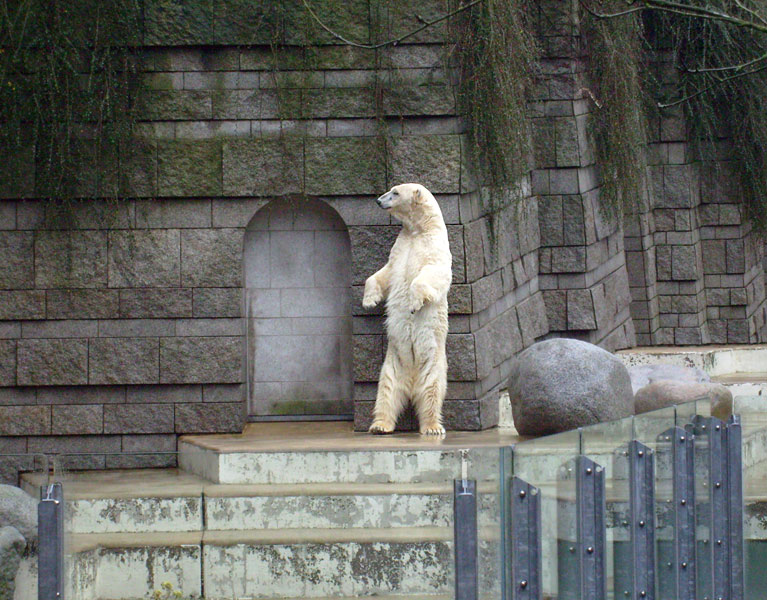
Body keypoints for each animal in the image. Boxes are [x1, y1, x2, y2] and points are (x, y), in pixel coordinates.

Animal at [364, 183, 452, 436]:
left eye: (394, 192)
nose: (378, 200)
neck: (419, 229)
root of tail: (412, 381)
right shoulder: (400, 247)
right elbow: (386, 272)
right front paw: (369, 300)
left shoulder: (435, 246)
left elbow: (434, 272)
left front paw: (414, 303)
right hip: (392, 365)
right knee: (386, 392)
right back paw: (379, 425)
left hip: (433, 362)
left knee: (433, 391)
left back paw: (432, 427)